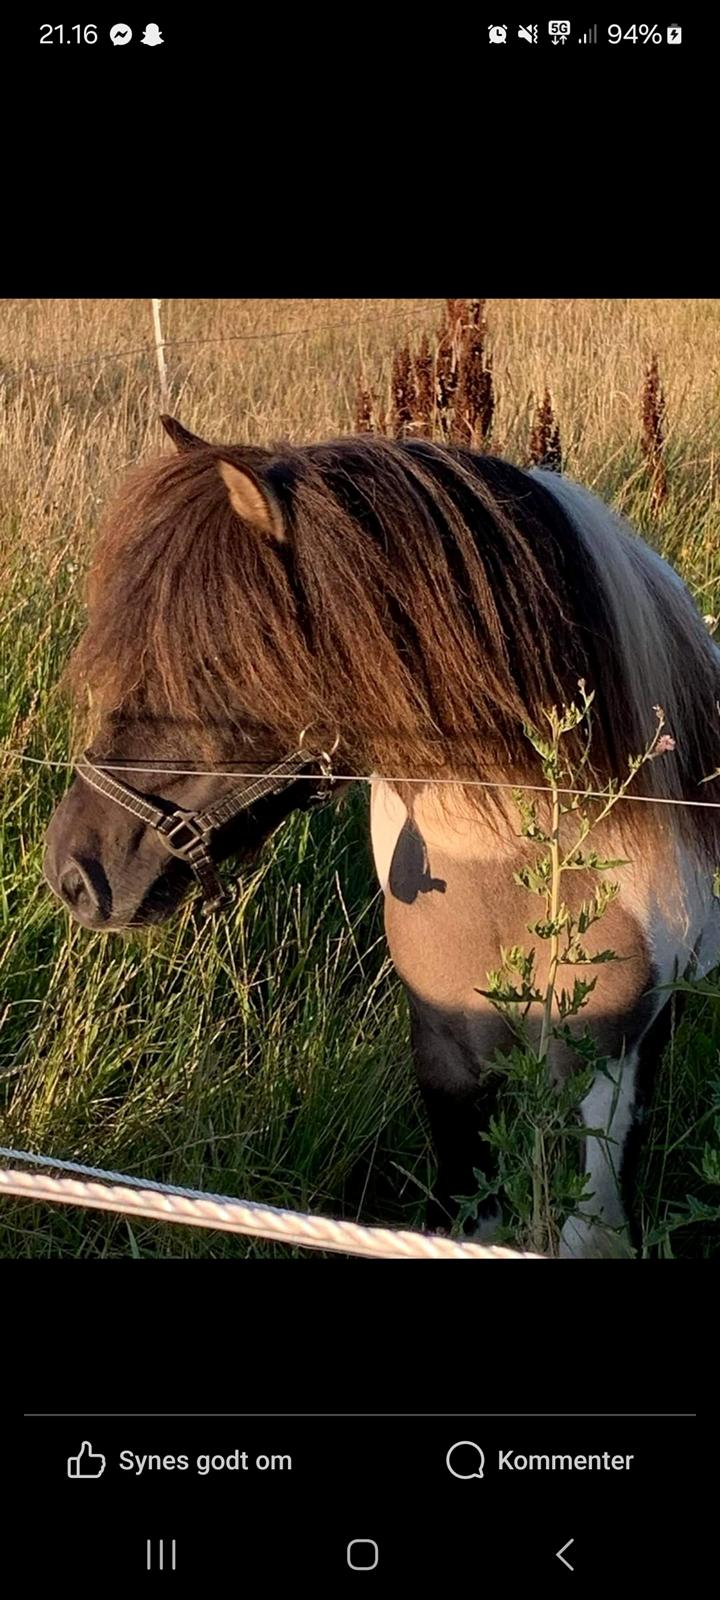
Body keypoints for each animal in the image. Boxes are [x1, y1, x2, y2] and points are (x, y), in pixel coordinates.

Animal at [42, 419, 720, 1254]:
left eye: (213, 662)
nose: (75, 871)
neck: (509, 871)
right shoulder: (444, 1053)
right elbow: (466, 1211)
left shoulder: (611, 1065)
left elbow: (588, 1227)